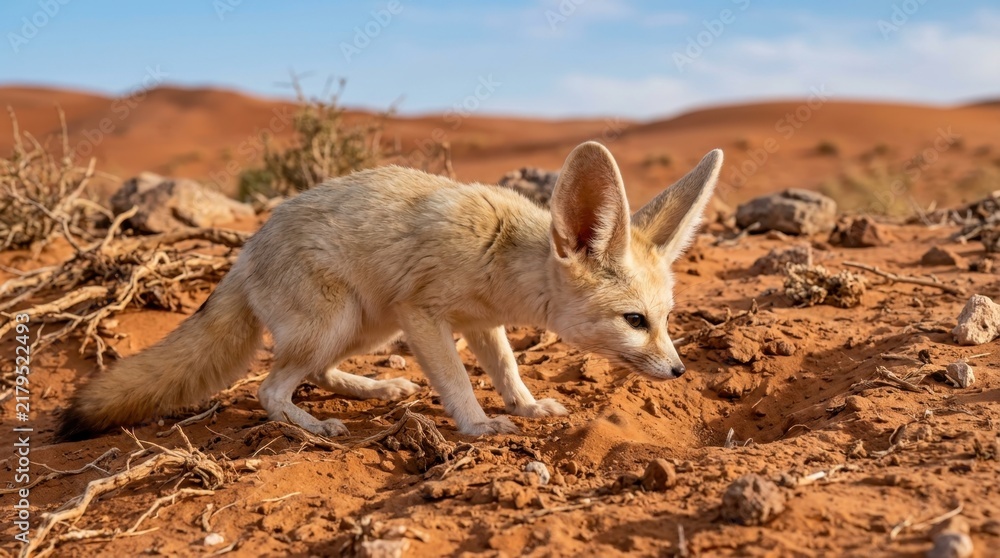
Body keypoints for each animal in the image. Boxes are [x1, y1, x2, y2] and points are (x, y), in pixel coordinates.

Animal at [56, 141, 723, 441]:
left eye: (666, 318)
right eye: (636, 321)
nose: (679, 370)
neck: (502, 254)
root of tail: (243, 256)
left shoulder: (481, 323)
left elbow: (508, 370)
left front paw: (527, 407)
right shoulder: (423, 313)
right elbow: (457, 381)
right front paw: (478, 426)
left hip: (365, 328)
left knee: (316, 372)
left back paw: (377, 389)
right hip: (344, 320)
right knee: (270, 388)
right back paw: (313, 426)